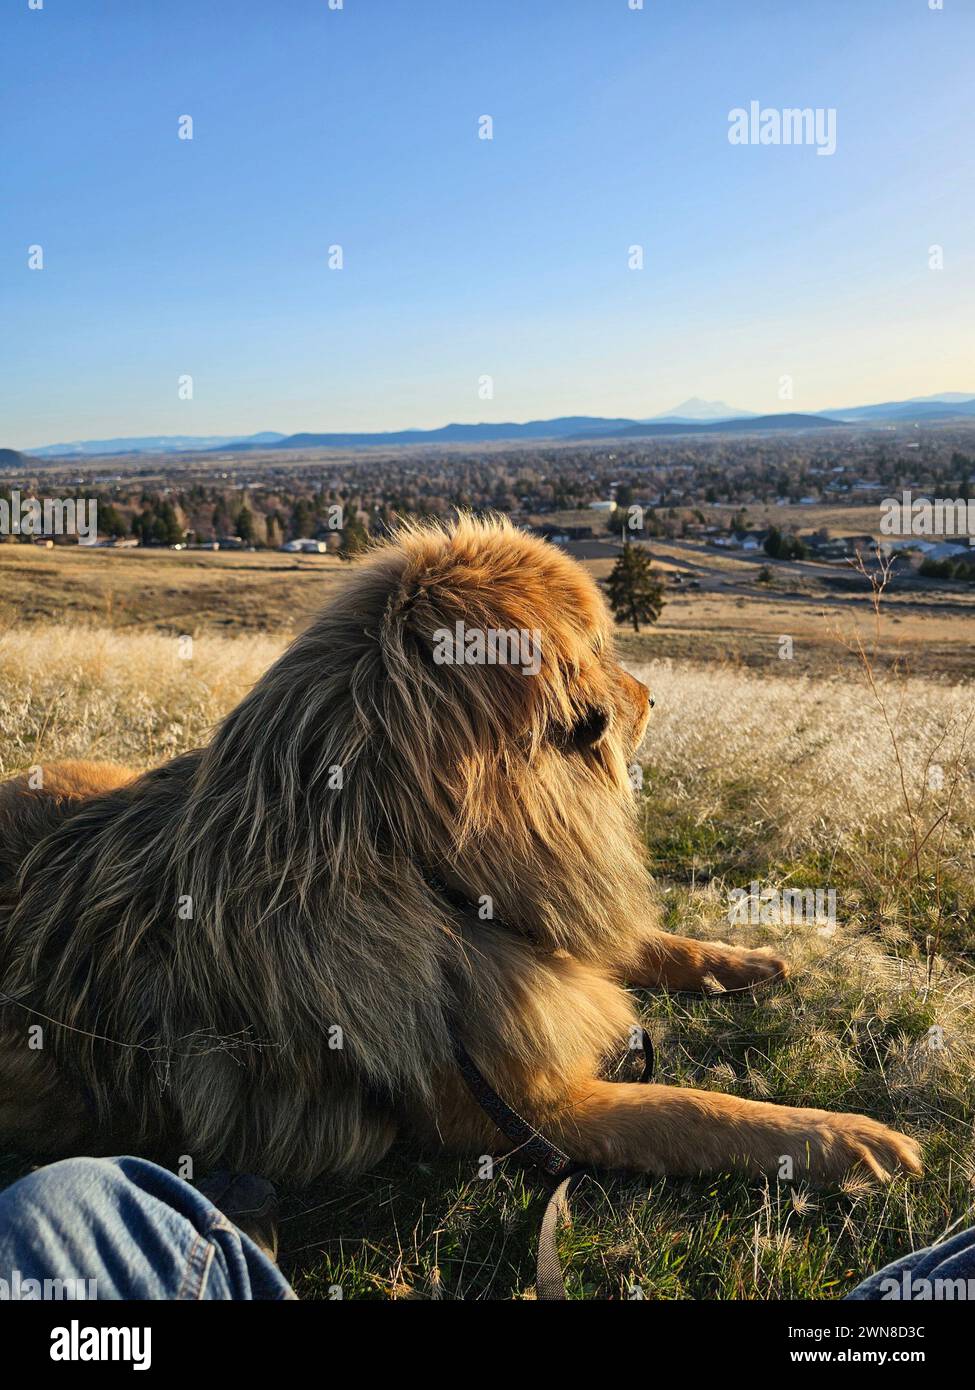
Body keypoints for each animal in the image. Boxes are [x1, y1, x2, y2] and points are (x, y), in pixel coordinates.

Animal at [0, 519, 917, 1184]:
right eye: (599, 651)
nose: (653, 696)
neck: (411, 862)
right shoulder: (530, 1113)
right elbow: (691, 1109)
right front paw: (839, 1137)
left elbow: (640, 945)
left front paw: (740, 960)